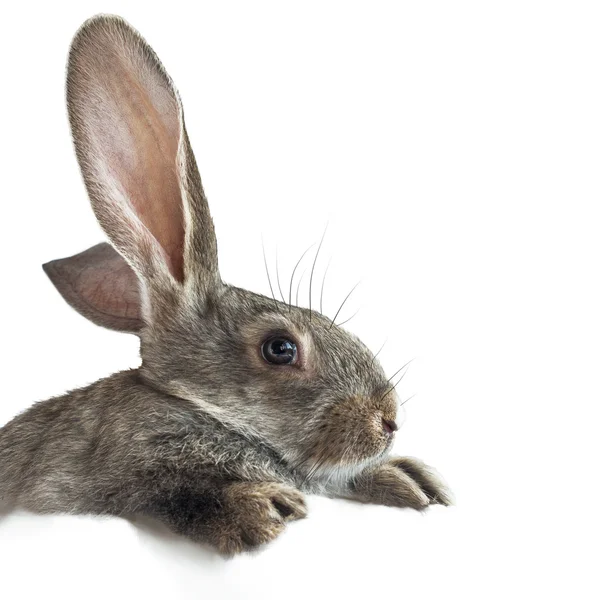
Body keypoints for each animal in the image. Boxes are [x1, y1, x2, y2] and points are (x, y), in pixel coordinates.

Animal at [0, 14, 450, 556]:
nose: (388, 421)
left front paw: (411, 480)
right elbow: (176, 492)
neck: (196, 405)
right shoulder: (118, 468)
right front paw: (262, 510)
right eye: (280, 348)